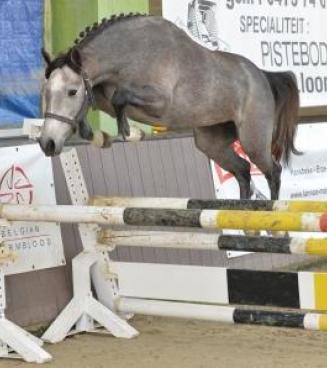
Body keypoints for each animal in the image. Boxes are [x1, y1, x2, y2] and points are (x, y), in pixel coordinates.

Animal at [39, 12, 302, 200]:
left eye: (72, 91)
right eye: (46, 92)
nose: (47, 143)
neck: (129, 56)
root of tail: (262, 76)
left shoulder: (161, 102)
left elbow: (120, 97)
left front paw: (127, 132)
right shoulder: (102, 94)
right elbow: (98, 103)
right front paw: (96, 135)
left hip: (253, 140)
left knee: (272, 171)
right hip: (211, 142)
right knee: (243, 170)